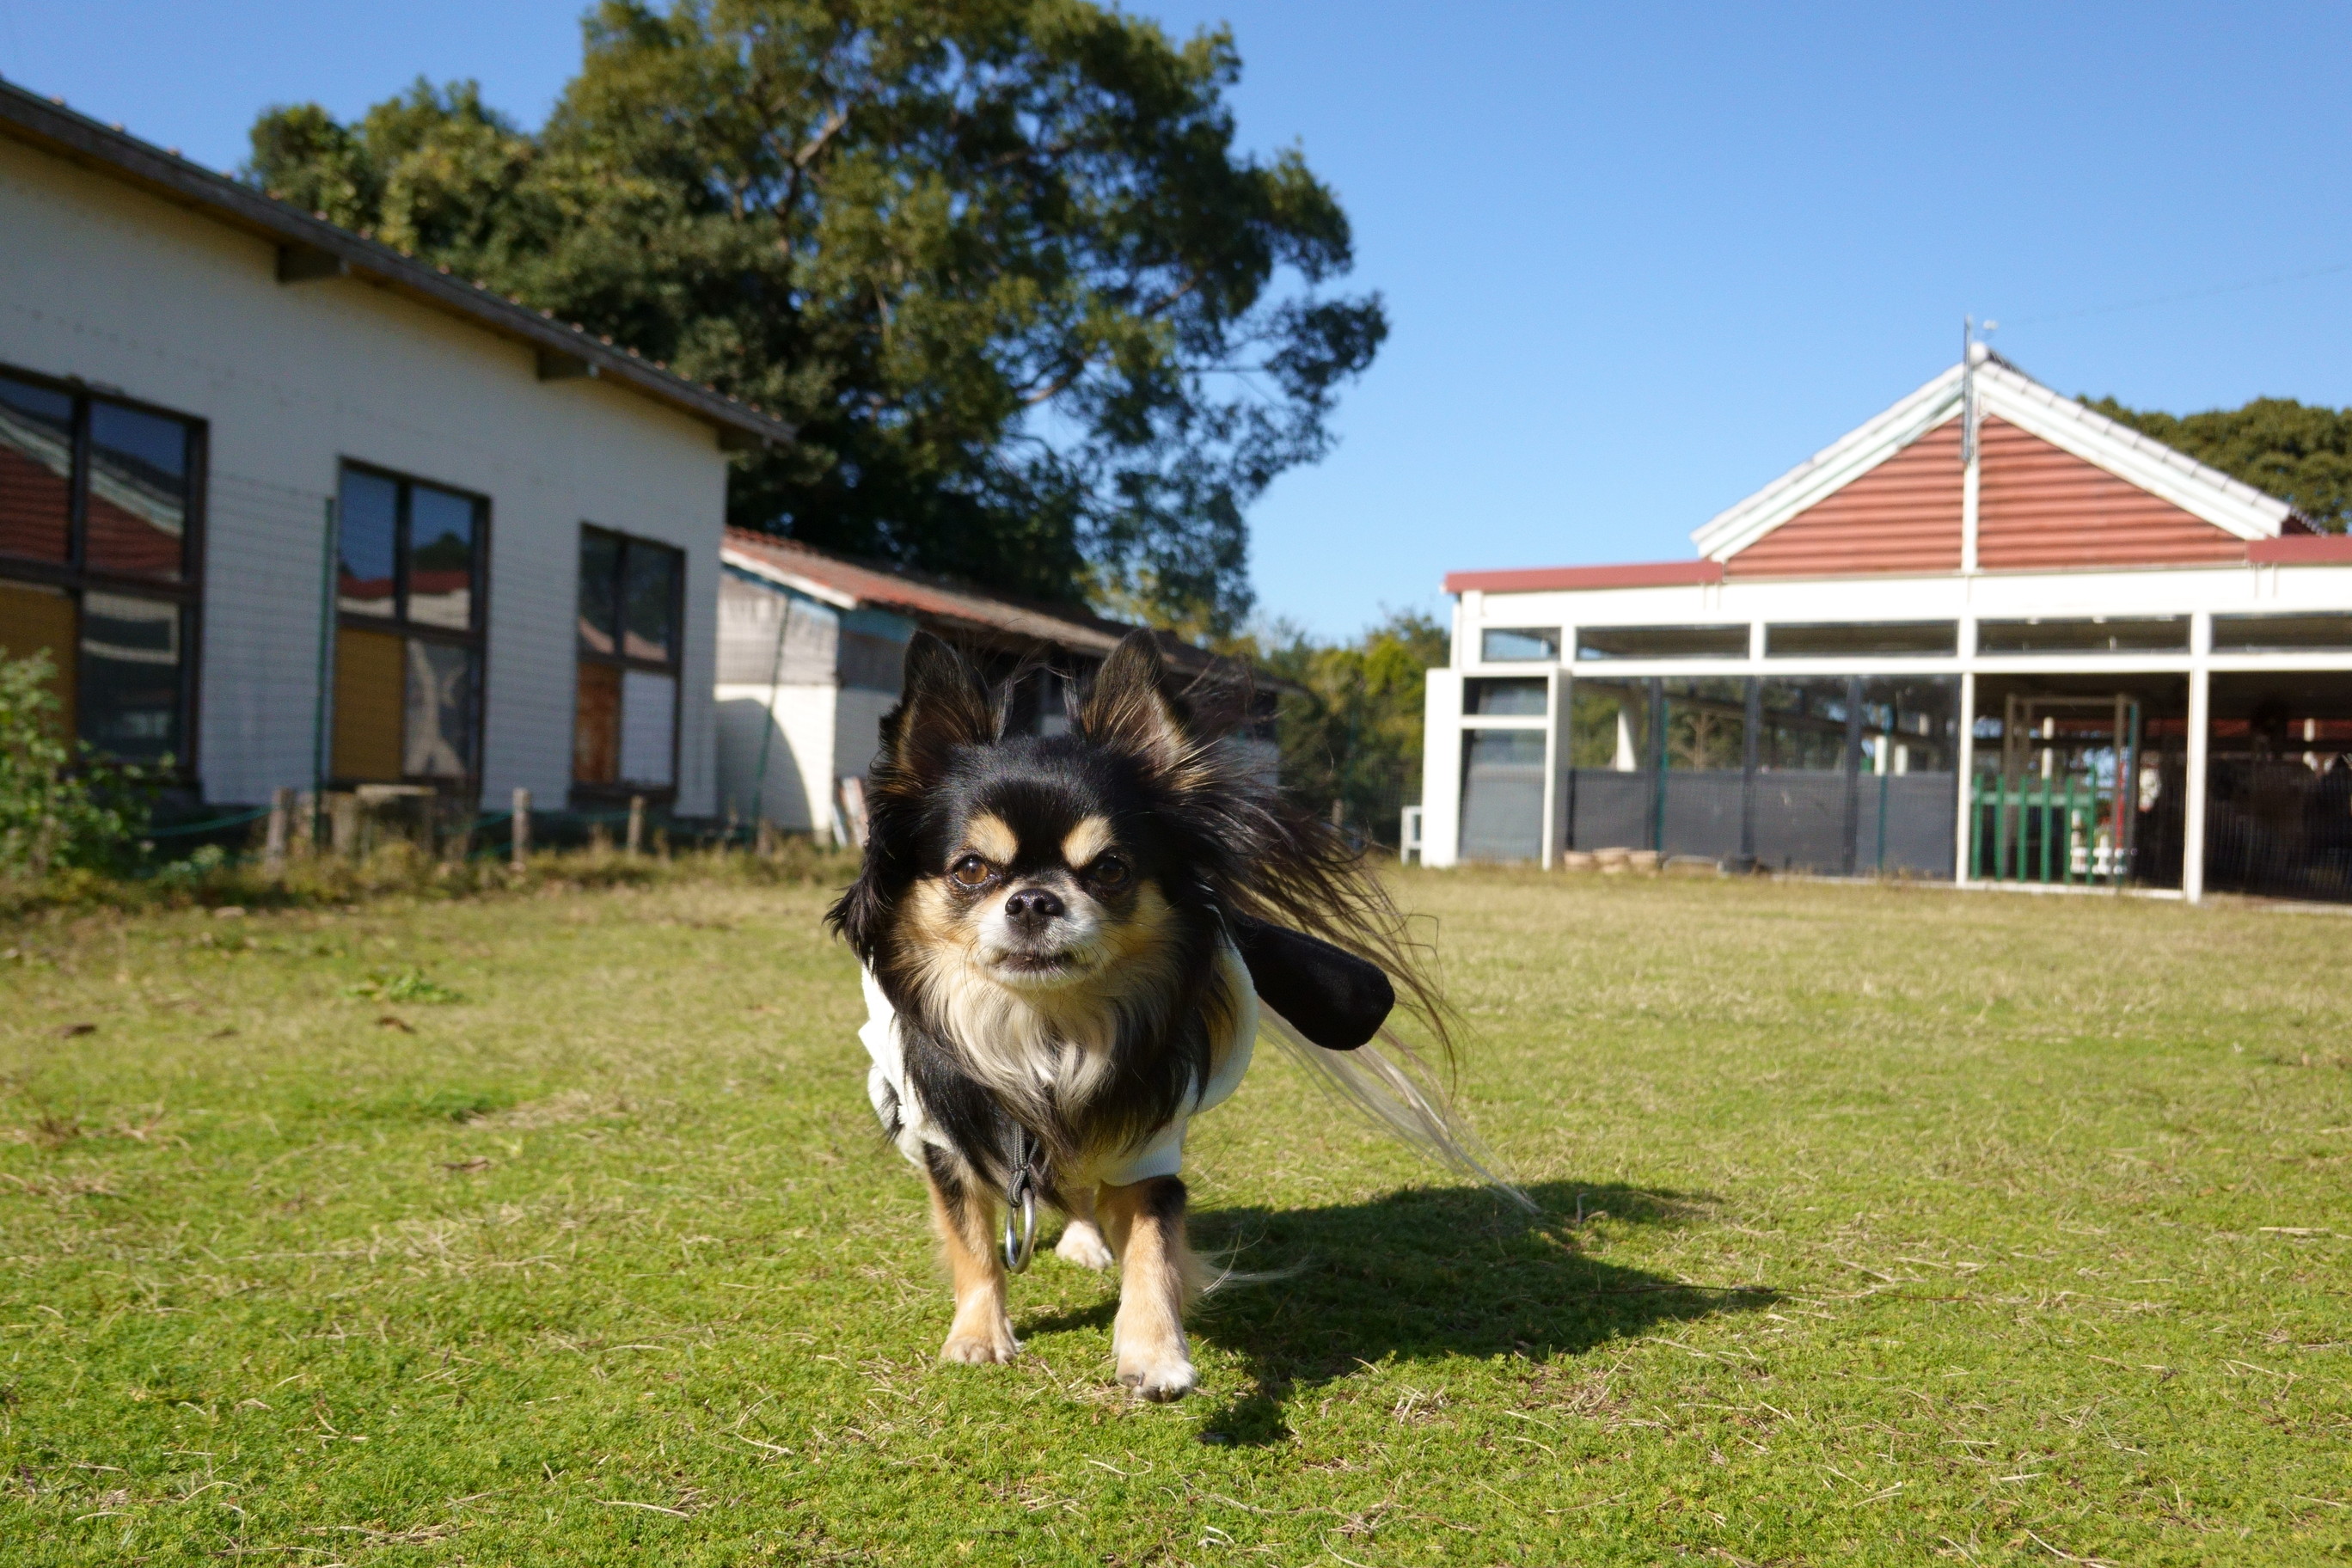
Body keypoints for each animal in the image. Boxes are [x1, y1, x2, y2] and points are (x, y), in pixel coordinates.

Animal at [837, 625, 1496, 1400]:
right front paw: (978, 1334)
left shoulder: (1147, 1145)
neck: (1047, 1034)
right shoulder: (945, 1140)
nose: (1033, 899)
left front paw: (1155, 1350)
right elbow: (972, 1241)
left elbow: (1153, 1246)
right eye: (970, 869)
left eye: (1110, 869)